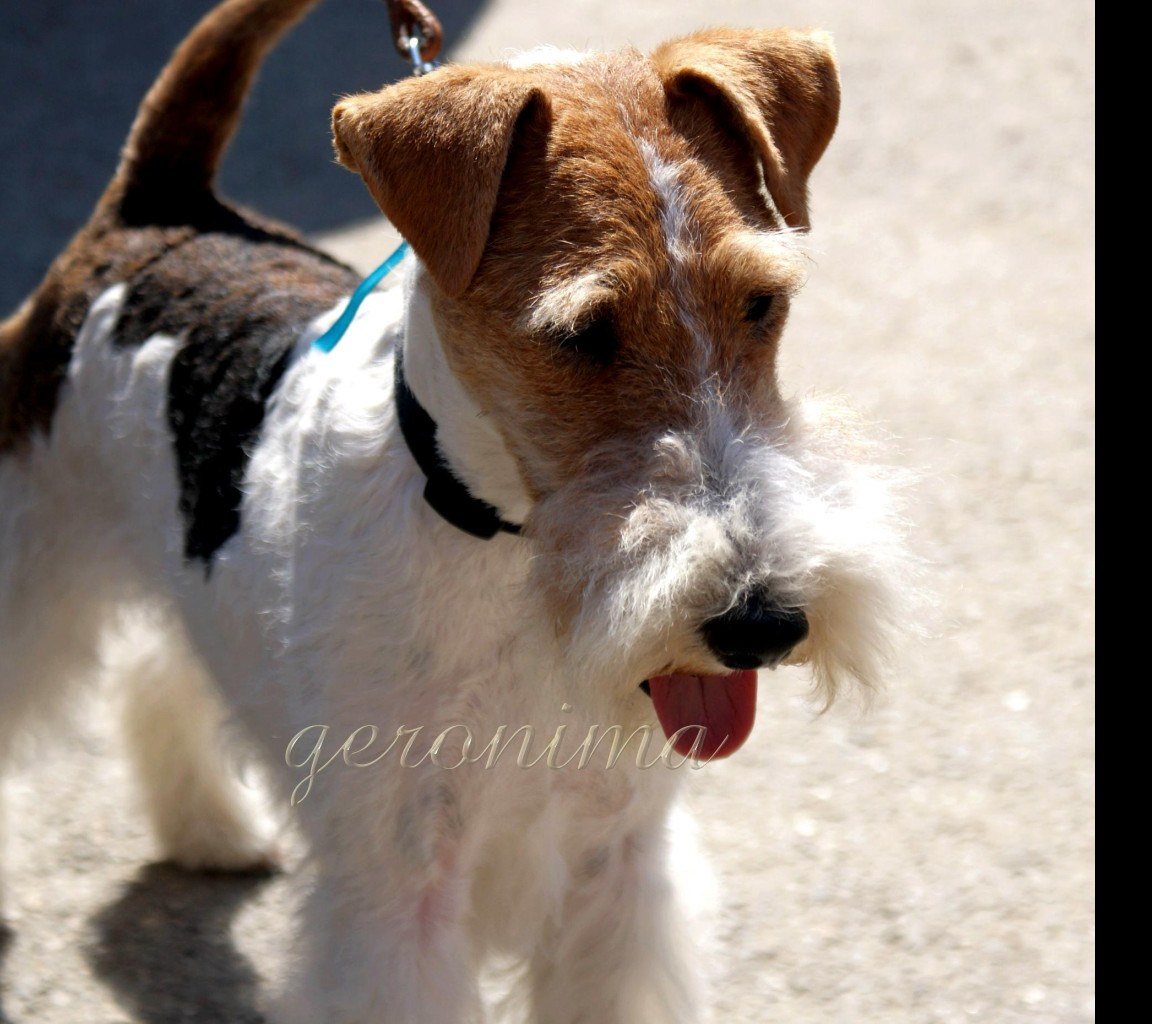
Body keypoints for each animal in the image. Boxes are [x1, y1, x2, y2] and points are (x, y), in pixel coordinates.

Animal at [2, 1, 907, 1022]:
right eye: (583, 332)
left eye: (762, 302)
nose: (761, 622)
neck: (494, 544)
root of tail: (158, 209)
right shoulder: (402, 896)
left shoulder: (615, 864)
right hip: (29, 554)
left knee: (162, 671)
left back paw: (212, 829)